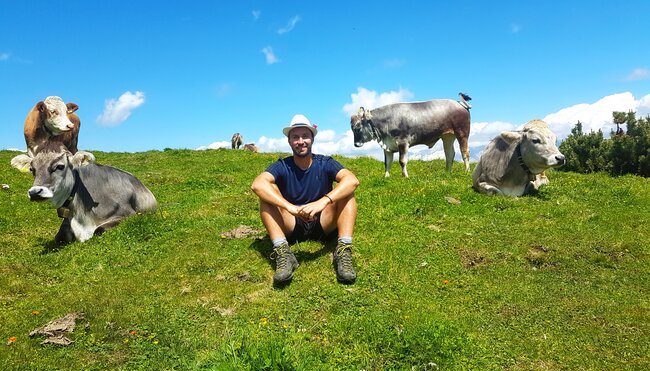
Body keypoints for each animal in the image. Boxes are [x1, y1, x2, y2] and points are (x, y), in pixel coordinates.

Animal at [12, 142, 156, 244]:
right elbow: (59, 237)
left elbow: (99, 229)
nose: (35, 192)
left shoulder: (128, 213)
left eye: (60, 166)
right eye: (32, 169)